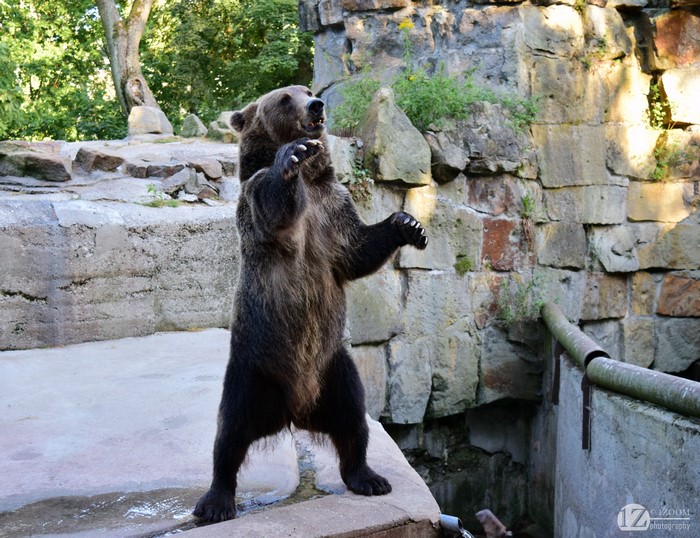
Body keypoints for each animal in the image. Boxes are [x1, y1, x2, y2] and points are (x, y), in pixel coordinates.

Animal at [193, 85, 428, 523]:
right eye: (285, 98)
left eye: (307, 91)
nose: (316, 104)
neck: (311, 182)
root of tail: (293, 410)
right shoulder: (262, 204)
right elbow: (272, 205)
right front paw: (292, 155)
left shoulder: (334, 207)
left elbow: (357, 251)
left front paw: (410, 224)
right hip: (254, 367)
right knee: (230, 433)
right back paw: (216, 500)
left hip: (333, 365)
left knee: (353, 417)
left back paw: (368, 477)